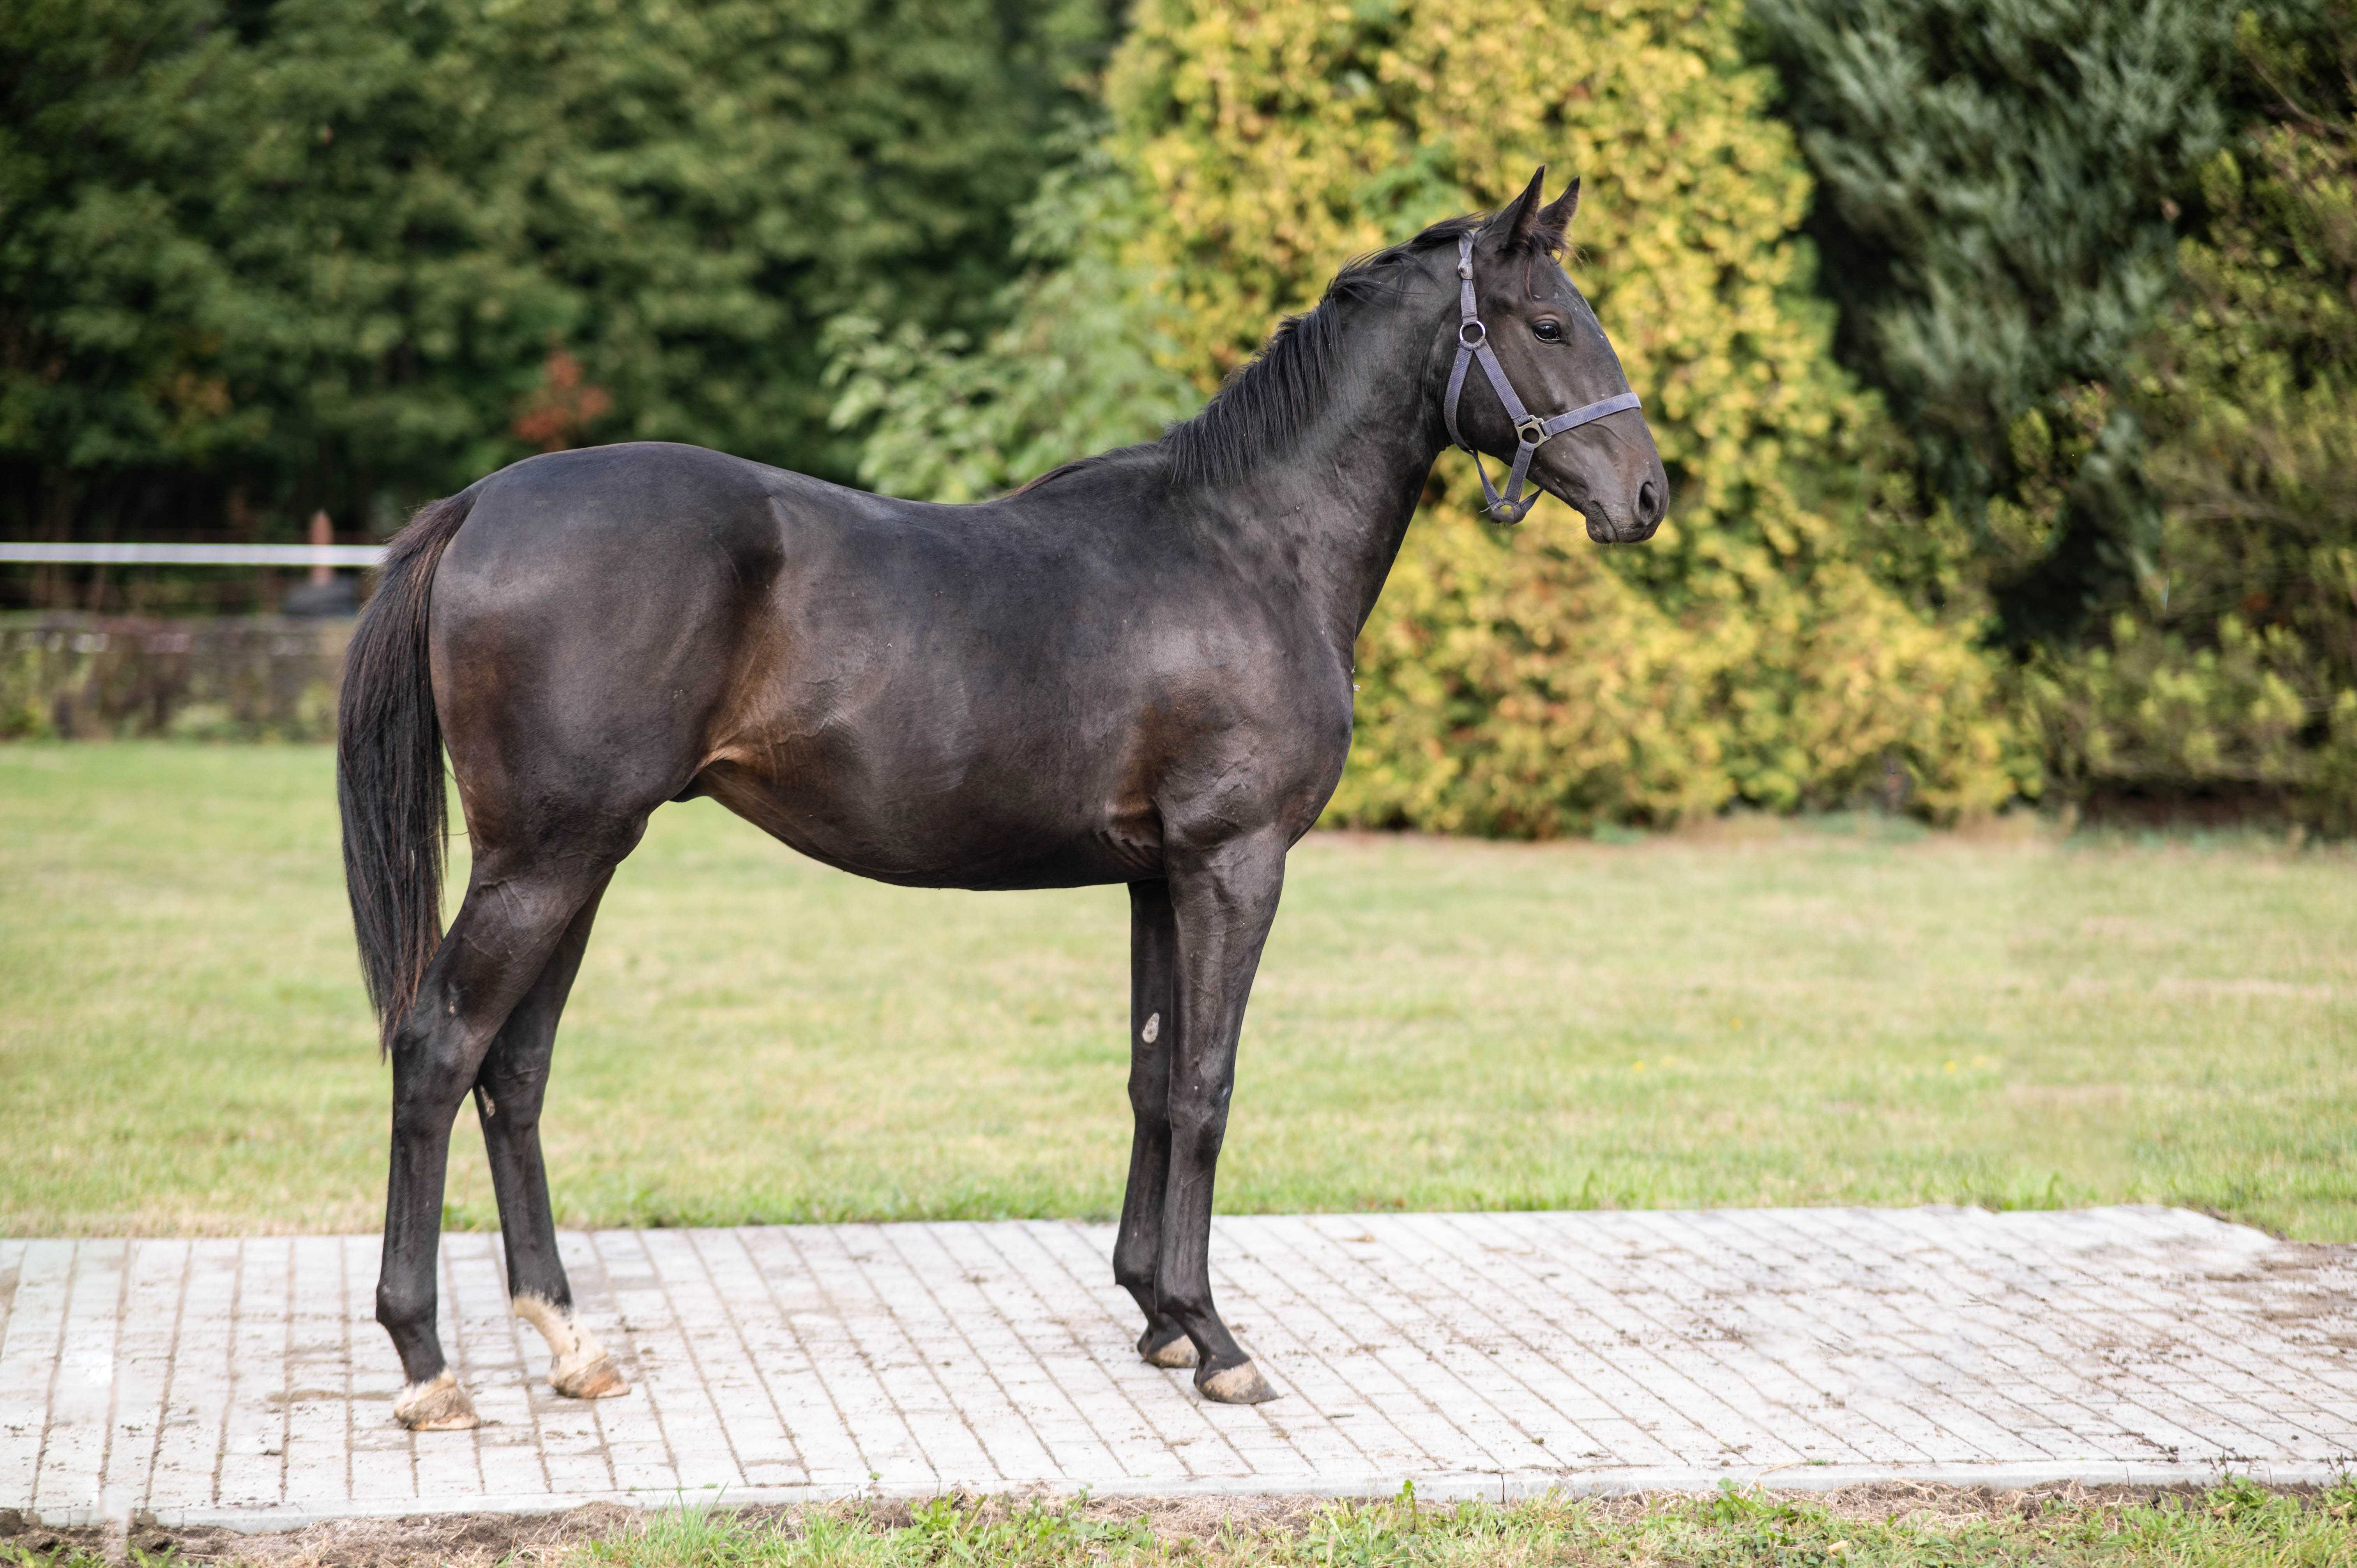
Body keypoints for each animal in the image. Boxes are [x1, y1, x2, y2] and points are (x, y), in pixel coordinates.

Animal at [336, 167, 1666, 1429]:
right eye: (1551, 321)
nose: (1648, 496)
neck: (1248, 546)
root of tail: (480, 505)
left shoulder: (1155, 875)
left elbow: (1150, 1079)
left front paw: (1157, 1316)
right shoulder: (1234, 862)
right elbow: (1206, 1087)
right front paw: (1216, 1341)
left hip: (580, 861)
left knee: (515, 1072)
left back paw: (571, 1344)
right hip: (547, 860)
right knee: (439, 1049)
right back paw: (426, 1364)